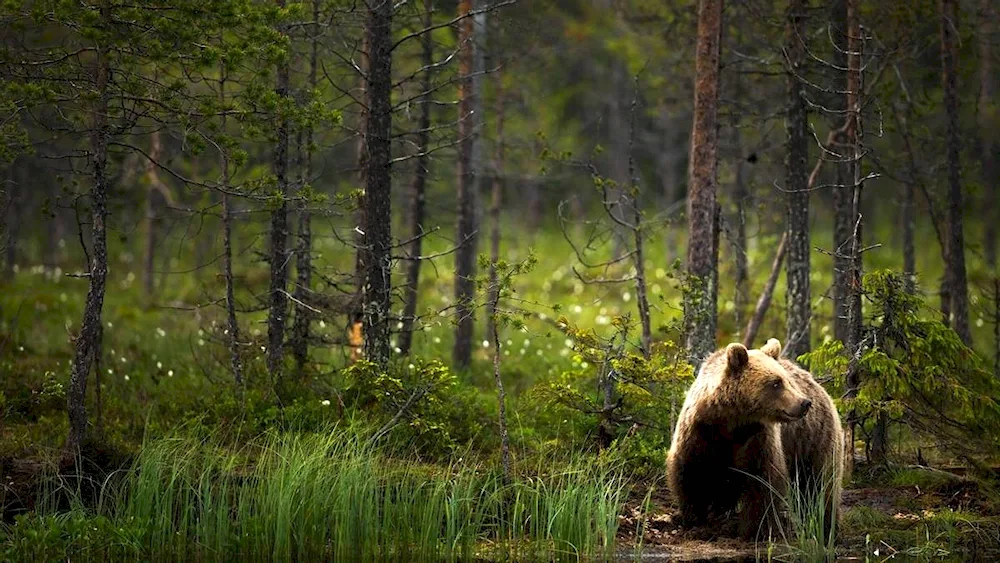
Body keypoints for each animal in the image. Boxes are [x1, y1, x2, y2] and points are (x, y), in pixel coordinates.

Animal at [668, 340, 840, 540]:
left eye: (786, 380)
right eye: (776, 383)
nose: (804, 403)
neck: (732, 421)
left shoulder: (757, 438)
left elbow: (762, 480)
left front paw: (753, 529)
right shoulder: (701, 430)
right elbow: (692, 471)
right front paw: (695, 519)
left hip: (813, 439)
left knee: (820, 484)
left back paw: (825, 526)